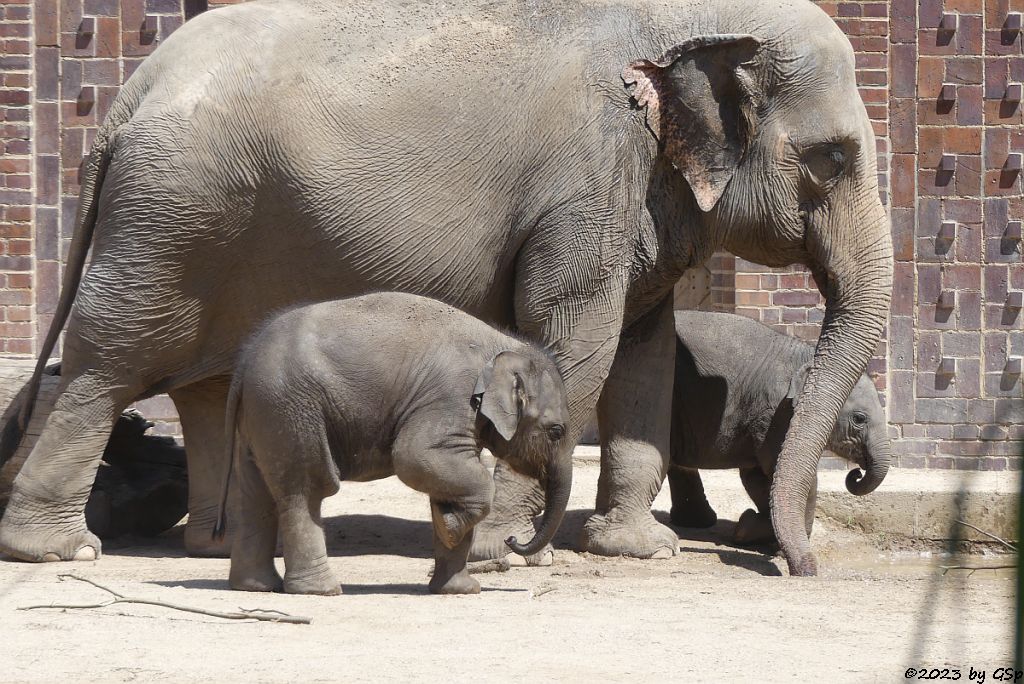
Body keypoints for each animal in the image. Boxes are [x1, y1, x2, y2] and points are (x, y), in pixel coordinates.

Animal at [216, 290, 573, 593]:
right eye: (556, 431)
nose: (512, 540)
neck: (503, 345)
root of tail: (244, 363)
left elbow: (442, 474)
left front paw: (459, 584)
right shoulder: (450, 399)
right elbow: (413, 456)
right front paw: (449, 524)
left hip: (264, 415)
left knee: (255, 494)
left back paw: (256, 587)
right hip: (292, 409)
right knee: (306, 489)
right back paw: (322, 590)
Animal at [667, 311, 884, 544]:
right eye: (859, 419)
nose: (856, 474)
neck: (811, 358)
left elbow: (756, 476)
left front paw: (748, 528)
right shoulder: (776, 414)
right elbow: (780, 470)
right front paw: (760, 535)